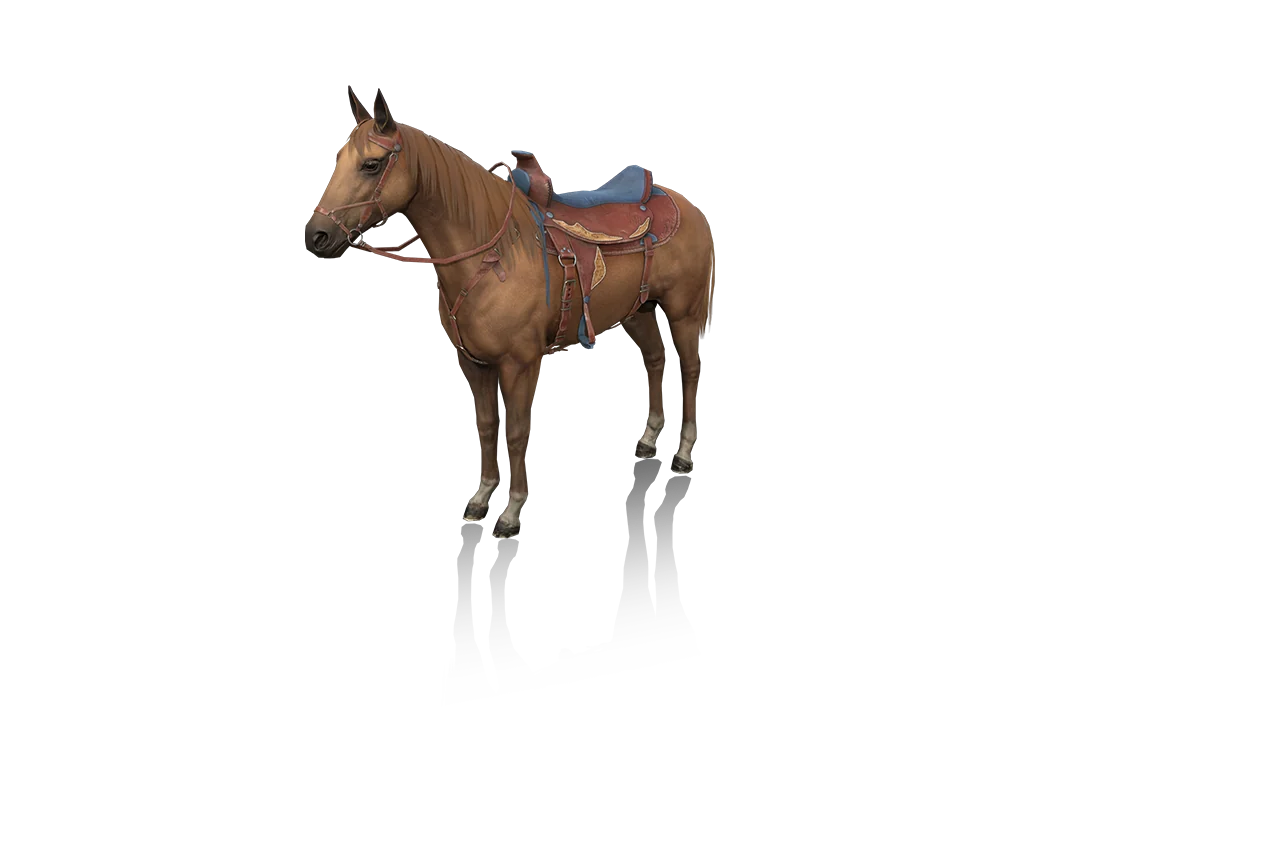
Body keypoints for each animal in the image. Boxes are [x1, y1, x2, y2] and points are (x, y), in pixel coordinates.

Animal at [304, 89, 716, 540]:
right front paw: (480, 500)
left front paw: (511, 514)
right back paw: (647, 440)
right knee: (655, 360)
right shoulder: (474, 363)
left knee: (690, 371)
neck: (492, 253)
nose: (316, 234)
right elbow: (486, 428)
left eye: (372, 164)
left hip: (683, 313)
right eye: (339, 159)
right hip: (637, 312)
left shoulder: (520, 364)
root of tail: (682, 203)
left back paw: (684, 453)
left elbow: (516, 433)